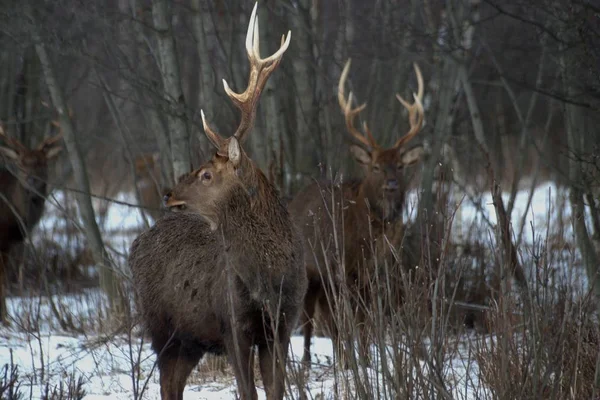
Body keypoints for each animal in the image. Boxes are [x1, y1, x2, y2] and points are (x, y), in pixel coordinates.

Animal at [0, 123, 62, 324]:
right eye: (21, 164)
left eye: (41, 163)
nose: (31, 180)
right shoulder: (2, 240)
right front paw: (5, 320)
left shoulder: (9, 244)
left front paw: (5, 318)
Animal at [126, 3, 304, 400]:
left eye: (207, 174)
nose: (169, 193)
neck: (266, 281)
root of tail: (135, 243)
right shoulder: (232, 326)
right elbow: (248, 391)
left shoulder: (283, 326)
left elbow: (275, 390)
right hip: (161, 329)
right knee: (167, 384)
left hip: (190, 340)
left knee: (173, 384)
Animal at [288, 58, 424, 366]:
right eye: (375, 166)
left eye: (400, 165)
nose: (391, 184)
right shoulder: (340, 267)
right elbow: (344, 320)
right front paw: (351, 361)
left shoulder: (371, 273)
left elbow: (364, 320)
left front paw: (366, 360)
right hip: (309, 270)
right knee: (310, 318)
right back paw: (306, 361)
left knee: (324, 314)